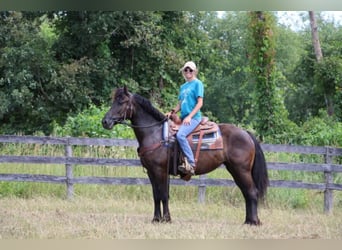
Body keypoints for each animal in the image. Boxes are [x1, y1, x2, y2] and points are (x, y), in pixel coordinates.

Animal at [102, 87, 270, 226]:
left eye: (122, 101)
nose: (105, 121)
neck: (155, 134)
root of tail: (246, 134)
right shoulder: (151, 172)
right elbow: (156, 195)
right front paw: (156, 219)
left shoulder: (160, 171)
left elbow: (163, 194)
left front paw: (166, 219)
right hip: (235, 170)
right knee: (246, 192)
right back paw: (248, 220)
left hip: (241, 170)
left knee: (252, 192)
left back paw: (253, 222)